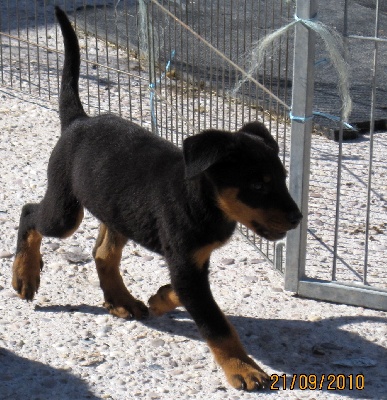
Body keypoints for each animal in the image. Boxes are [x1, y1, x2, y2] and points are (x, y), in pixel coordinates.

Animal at [12, 7, 304, 390]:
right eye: (257, 185)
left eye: (283, 179)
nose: (298, 218)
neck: (204, 199)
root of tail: (78, 121)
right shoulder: (184, 260)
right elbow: (216, 322)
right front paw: (242, 367)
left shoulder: (192, 263)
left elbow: (189, 295)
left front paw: (160, 298)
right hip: (64, 212)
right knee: (30, 214)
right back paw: (24, 275)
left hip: (115, 209)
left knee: (102, 252)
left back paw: (120, 300)